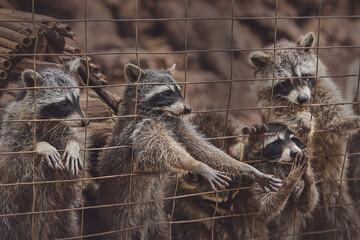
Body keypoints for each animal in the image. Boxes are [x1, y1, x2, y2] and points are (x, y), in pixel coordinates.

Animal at [0, 59, 89, 239]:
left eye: (77, 99)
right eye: (63, 103)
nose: (86, 122)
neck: (50, 120)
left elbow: (75, 141)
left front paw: (73, 146)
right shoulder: (12, 134)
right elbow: (17, 163)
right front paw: (42, 146)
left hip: (61, 213)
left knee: (64, 224)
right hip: (8, 205)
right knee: (8, 225)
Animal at [96, 62, 282, 239]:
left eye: (179, 91)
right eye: (167, 93)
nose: (188, 109)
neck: (161, 113)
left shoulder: (176, 124)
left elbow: (199, 145)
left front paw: (244, 167)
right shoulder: (139, 126)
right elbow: (160, 146)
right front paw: (197, 164)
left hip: (155, 216)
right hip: (122, 211)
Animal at [171, 113, 318, 240]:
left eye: (294, 139)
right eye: (276, 143)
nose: (295, 152)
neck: (279, 165)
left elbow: (305, 206)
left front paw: (308, 176)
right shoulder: (259, 176)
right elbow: (265, 208)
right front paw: (290, 181)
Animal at [249, 31, 360, 238]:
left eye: (305, 76)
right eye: (285, 83)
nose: (303, 98)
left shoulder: (323, 92)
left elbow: (335, 119)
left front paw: (352, 120)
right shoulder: (273, 106)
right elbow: (291, 124)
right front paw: (302, 122)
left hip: (333, 169)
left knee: (338, 201)